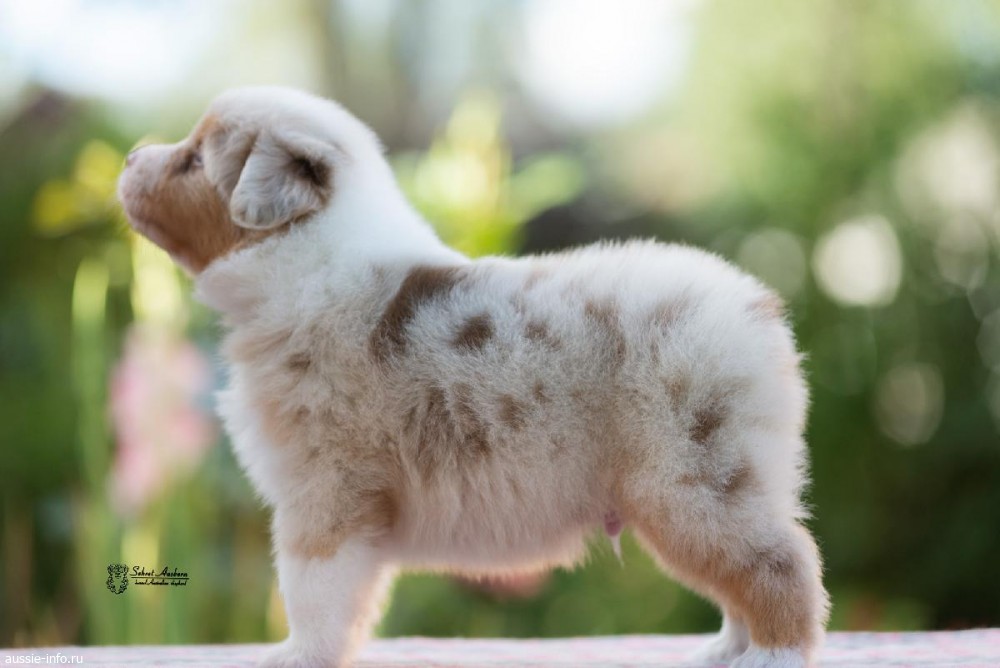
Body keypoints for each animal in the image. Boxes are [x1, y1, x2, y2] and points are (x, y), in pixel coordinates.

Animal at [117, 86, 829, 668]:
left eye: (192, 161)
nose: (129, 157)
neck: (301, 264)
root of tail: (753, 307)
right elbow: (353, 599)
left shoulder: (325, 488)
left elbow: (311, 588)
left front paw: (297, 656)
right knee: (742, 577)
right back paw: (724, 652)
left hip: (691, 479)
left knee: (779, 564)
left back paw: (773, 656)